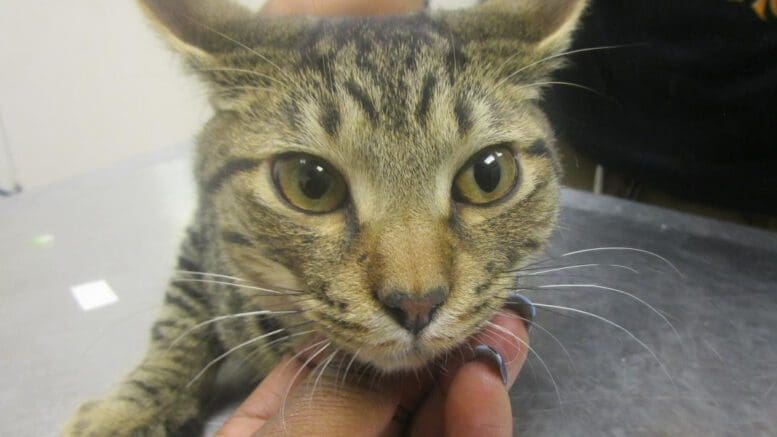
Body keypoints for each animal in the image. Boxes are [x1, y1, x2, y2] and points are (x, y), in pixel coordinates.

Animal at [66, 0, 584, 432]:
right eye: (310, 183)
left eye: (488, 174)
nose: (417, 303)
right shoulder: (201, 239)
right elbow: (177, 323)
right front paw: (126, 413)